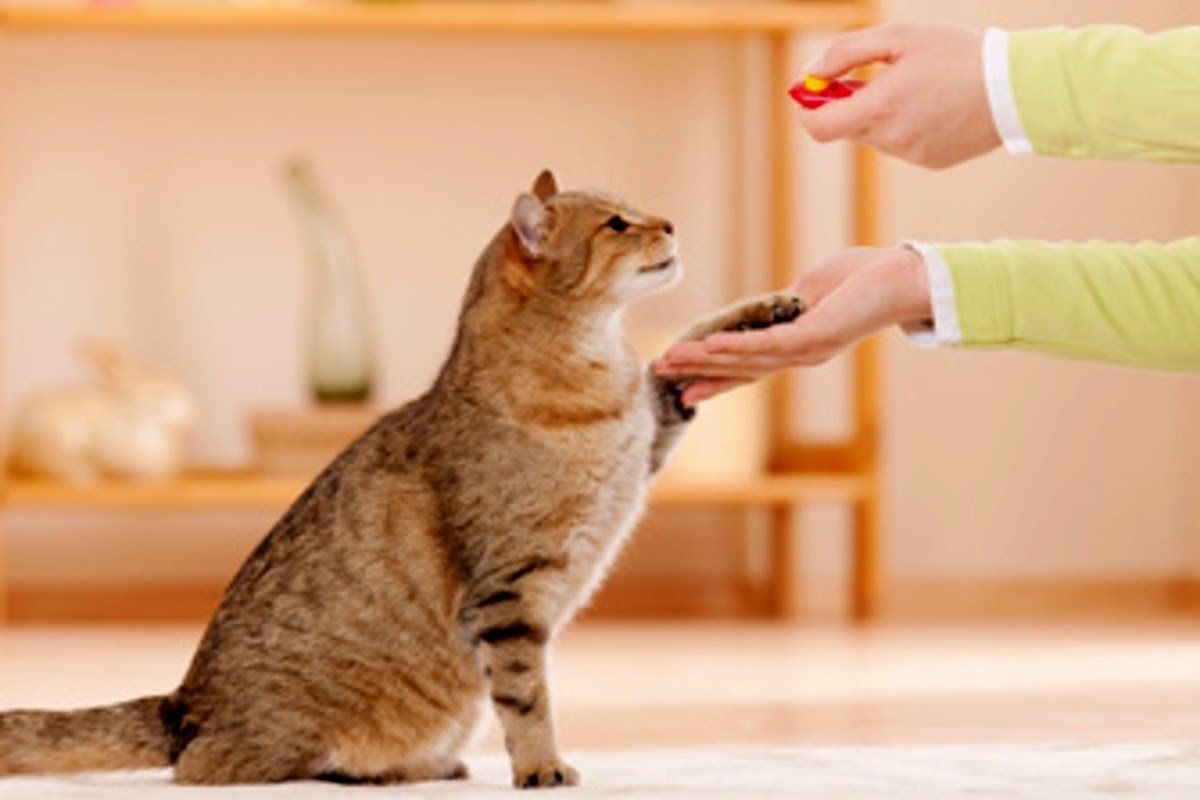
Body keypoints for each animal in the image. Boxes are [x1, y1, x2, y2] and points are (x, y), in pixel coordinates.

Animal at [0, 170, 803, 789]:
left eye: (634, 209)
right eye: (615, 224)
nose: (669, 222)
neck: (599, 364)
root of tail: (182, 699)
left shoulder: (652, 430)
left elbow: (688, 346)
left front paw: (768, 309)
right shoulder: (508, 593)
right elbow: (528, 700)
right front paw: (542, 768)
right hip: (284, 740)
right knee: (212, 771)